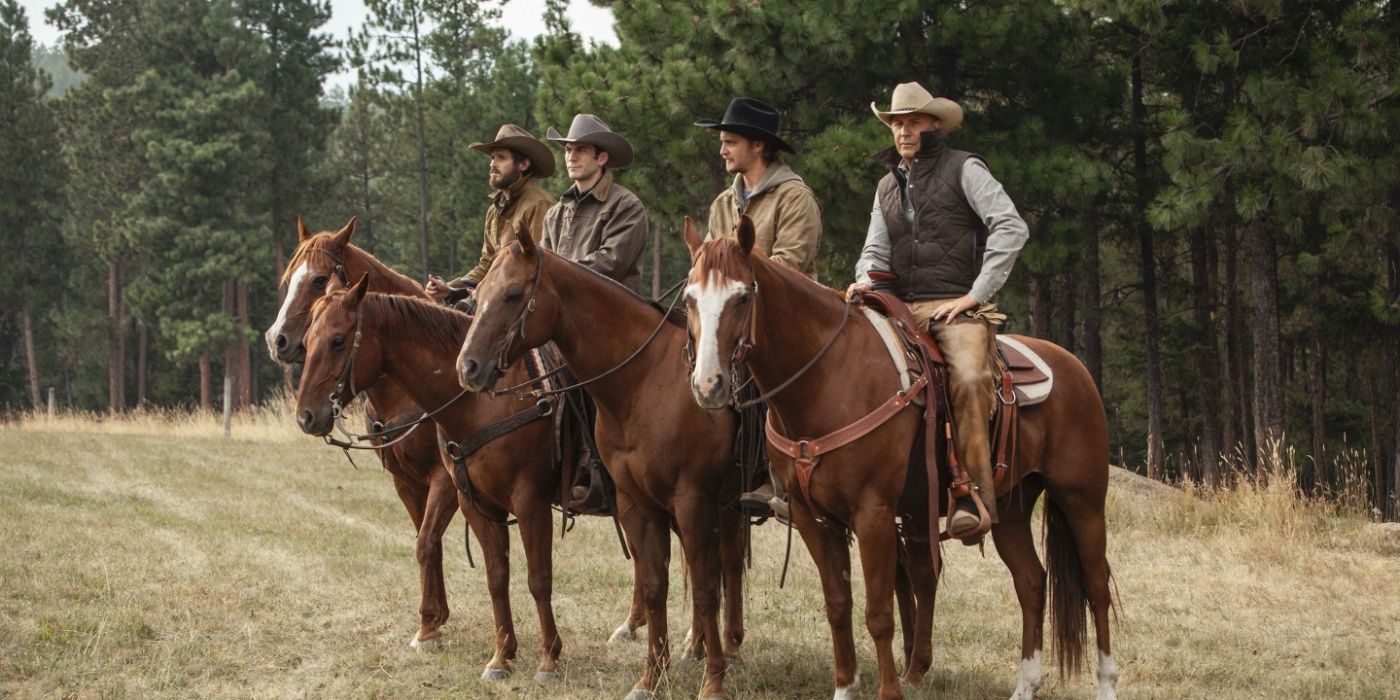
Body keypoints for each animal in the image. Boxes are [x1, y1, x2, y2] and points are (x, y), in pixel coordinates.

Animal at [263, 219, 453, 649]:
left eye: (319, 279)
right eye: (287, 278)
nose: (276, 340)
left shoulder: (446, 479)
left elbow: (427, 541)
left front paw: (429, 624)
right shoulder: (406, 482)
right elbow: (426, 542)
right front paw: (433, 621)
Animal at [453, 226, 750, 697]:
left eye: (513, 294)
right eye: (477, 294)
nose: (469, 367)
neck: (647, 381)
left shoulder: (692, 500)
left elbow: (705, 588)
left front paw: (713, 682)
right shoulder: (638, 503)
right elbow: (655, 584)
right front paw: (652, 676)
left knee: (728, 567)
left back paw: (727, 649)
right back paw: (699, 645)